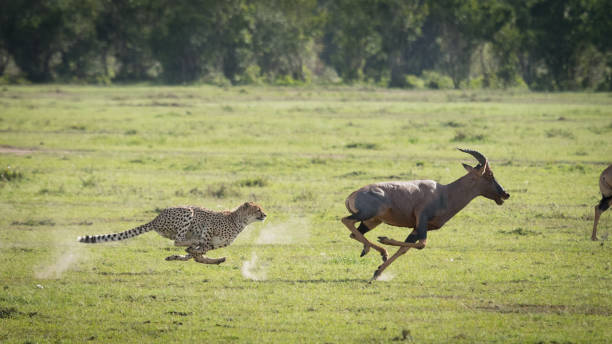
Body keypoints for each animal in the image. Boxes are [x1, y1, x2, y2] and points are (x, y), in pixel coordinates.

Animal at [77, 202, 266, 264]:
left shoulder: (214, 244)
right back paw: (191, 244)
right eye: (258, 209)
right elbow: (198, 249)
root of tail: (156, 218)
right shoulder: (208, 228)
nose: (265, 214)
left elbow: (197, 254)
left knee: (183, 243)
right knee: (178, 240)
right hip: (188, 211)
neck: (239, 221)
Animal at [342, 146, 510, 280]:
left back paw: (372, 251)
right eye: (489, 174)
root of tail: (353, 194)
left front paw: (378, 272)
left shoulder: (418, 227)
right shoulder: (421, 219)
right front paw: (385, 240)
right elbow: (422, 244)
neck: (444, 193)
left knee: (355, 233)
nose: (505, 194)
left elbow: (405, 248)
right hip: (368, 215)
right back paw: (381, 250)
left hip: (373, 221)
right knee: (346, 221)